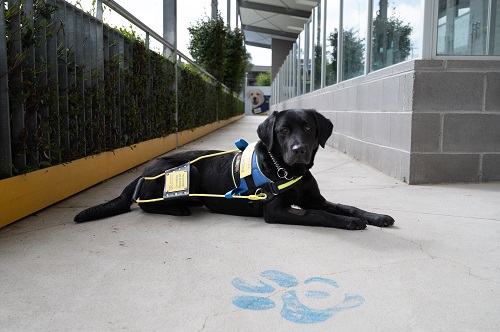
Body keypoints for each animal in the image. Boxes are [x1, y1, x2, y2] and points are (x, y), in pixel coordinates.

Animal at [74, 109, 394, 231]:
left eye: (307, 128)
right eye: (283, 131)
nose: (298, 150)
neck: (286, 172)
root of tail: (140, 174)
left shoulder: (314, 198)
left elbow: (346, 205)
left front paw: (376, 216)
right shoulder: (275, 210)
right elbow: (318, 215)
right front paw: (348, 223)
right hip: (184, 176)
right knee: (144, 205)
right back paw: (178, 208)